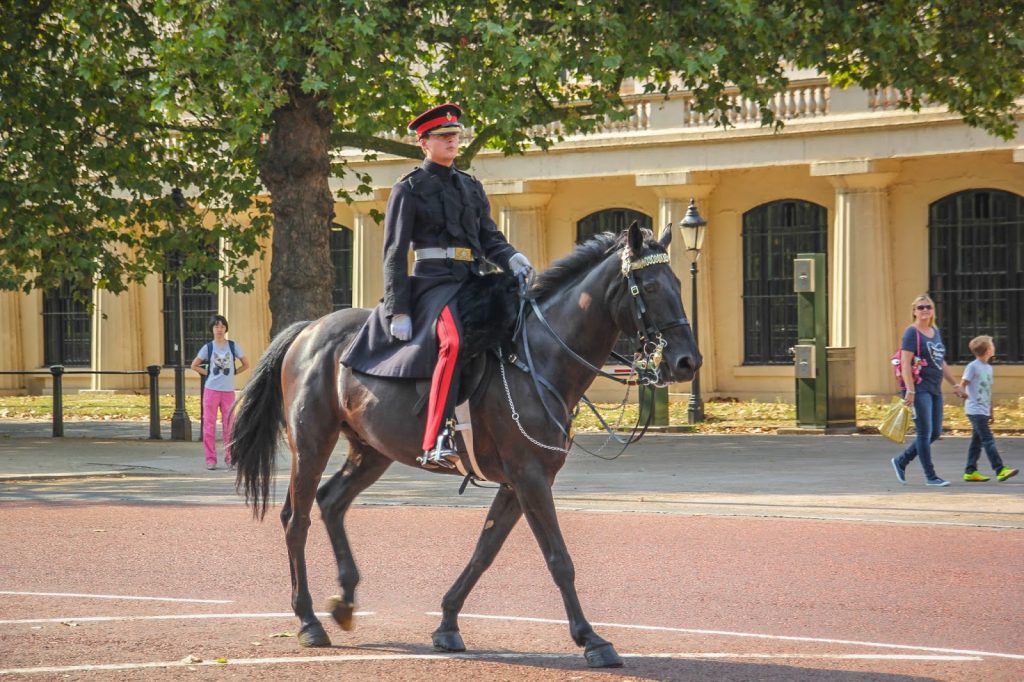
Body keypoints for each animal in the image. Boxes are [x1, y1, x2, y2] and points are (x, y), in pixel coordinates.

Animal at [230, 220, 704, 667]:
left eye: (679, 285)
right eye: (650, 287)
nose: (687, 362)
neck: (538, 358)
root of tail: (310, 329)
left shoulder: (517, 483)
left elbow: (484, 552)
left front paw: (447, 622)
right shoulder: (530, 477)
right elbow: (559, 559)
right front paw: (591, 639)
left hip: (372, 450)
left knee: (331, 501)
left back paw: (344, 601)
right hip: (312, 442)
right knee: (297, 519)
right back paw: (308, 620)